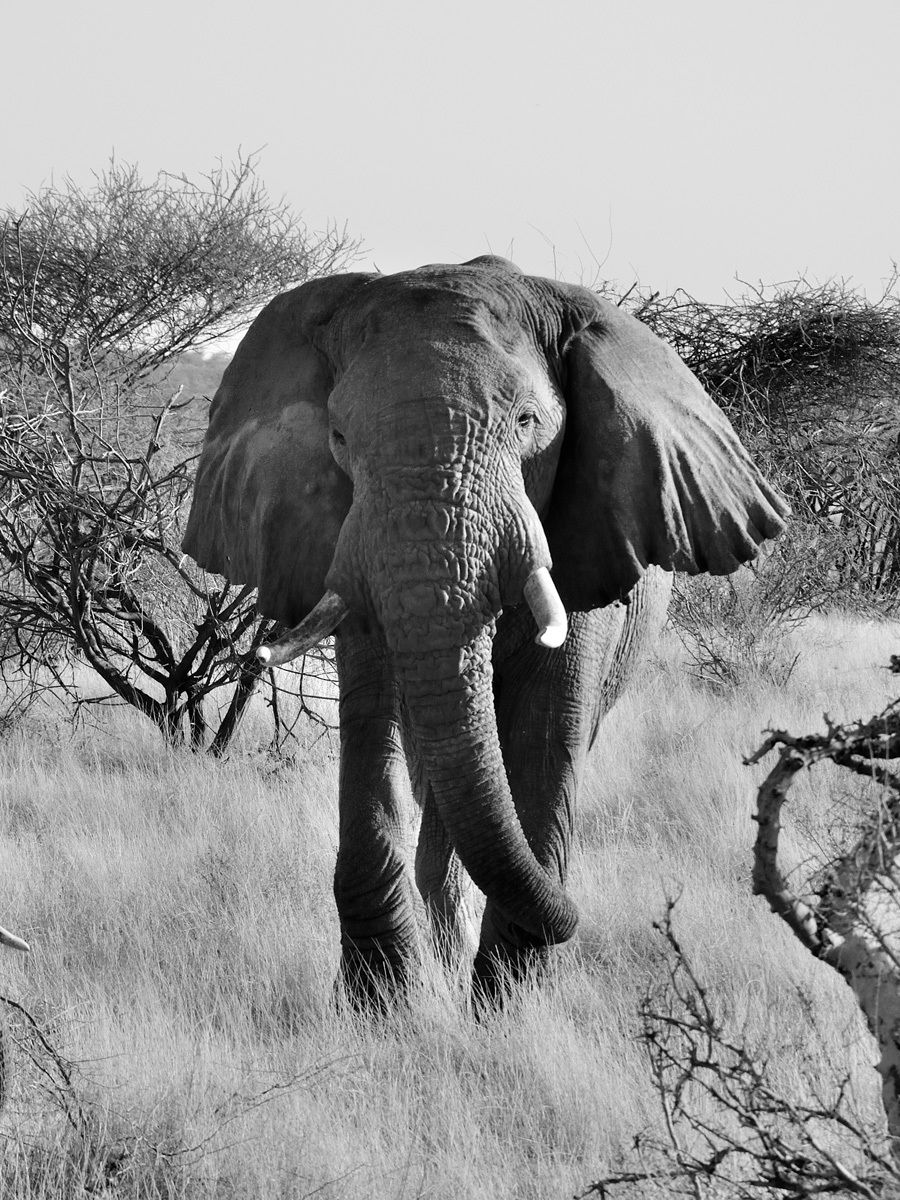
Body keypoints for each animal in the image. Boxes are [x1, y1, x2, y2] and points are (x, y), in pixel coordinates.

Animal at [182, 256, 788, 1007]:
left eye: (527, 421)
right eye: (339, 438)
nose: (578, 924)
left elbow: (546, 725)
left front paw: (509, 1005)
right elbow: (376, 717)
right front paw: (384, 1008)